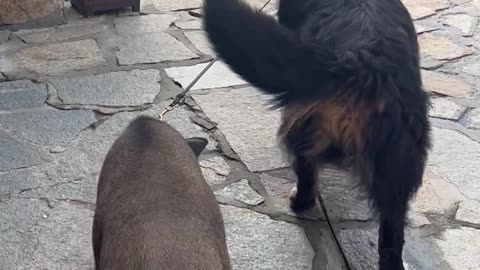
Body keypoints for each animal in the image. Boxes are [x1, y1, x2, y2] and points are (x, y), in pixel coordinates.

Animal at [202, 0, 432, 268]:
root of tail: (363, 62)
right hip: (397, 166)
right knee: (392, 237)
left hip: (306, 131)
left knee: (307, 177)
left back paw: (299, 201)